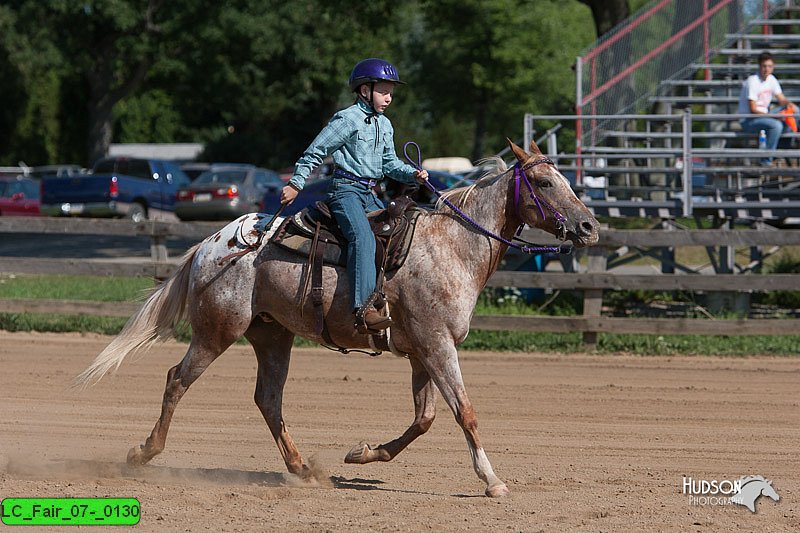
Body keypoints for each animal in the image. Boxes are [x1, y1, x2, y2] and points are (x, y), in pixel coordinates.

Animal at [76, 139, 600, 496]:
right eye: (546, 183)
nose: (590, 226)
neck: (451, 246)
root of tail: (212, 242)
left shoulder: (422, 350)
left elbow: (426, 418)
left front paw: (365, 453)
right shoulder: (437, 345)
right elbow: (463, 412)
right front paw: (492, 481)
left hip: (272, 335)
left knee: (268, 398)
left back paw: (302, 467)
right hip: (217, 331)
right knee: (177, 380)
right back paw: (143, 453)